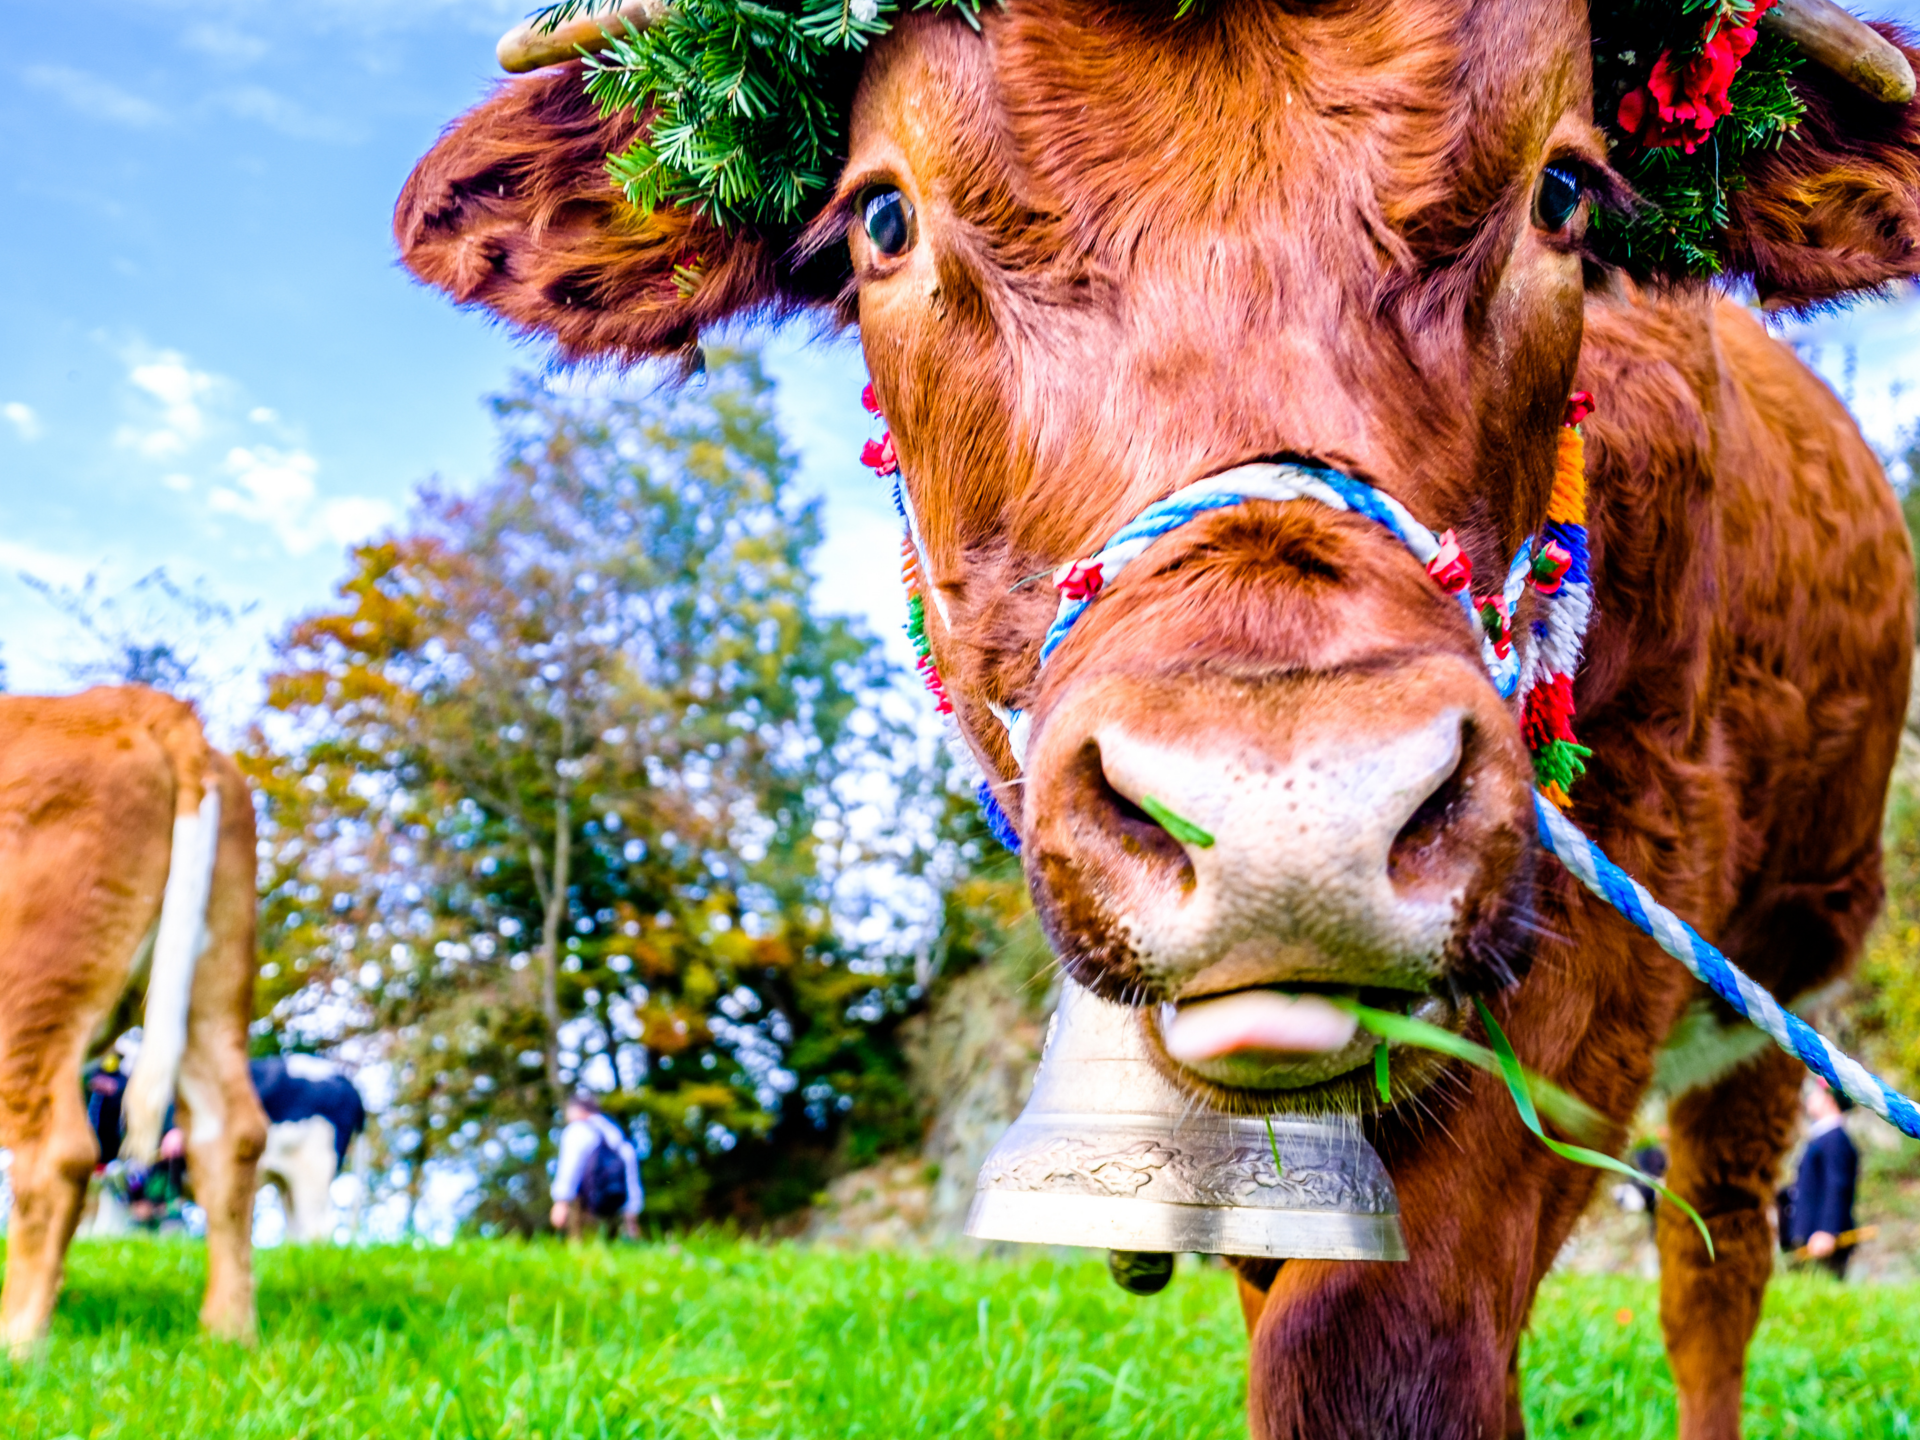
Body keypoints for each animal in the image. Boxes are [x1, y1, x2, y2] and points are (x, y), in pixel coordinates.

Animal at [0, 688, 266, 1347]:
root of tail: (132, 702)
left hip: (30, 988)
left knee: (56, 1153)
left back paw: (18, 1339)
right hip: (213, 980)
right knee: (232, 1135)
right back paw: (227, 1331)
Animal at [392, 3, 1920, 1435]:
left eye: (1563, 193)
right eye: (883, 216)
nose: (1286, 812)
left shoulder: (1627, 877)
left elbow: (1380, 1341)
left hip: (1779, 981)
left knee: (1714, 1260)